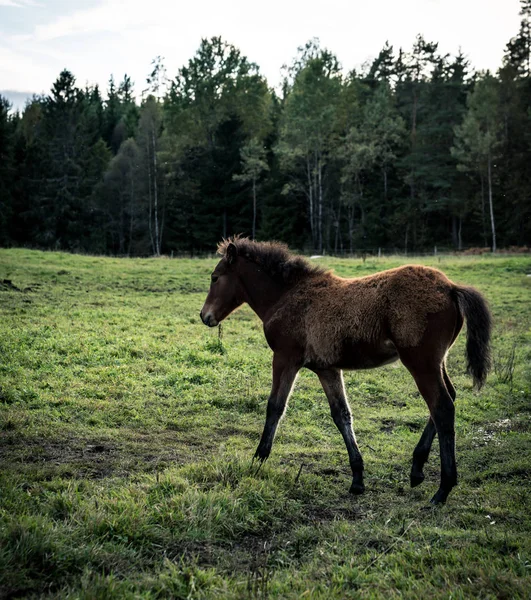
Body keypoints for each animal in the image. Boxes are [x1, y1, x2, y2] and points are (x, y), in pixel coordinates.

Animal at [201, 237, 494, 504]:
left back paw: (443, 489)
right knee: (448, 398)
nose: (205, 316)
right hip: (437, 361)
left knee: (442, 406)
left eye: (215, 278)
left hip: (420, 362)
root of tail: (451, 287)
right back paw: (416, 470)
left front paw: (259, 457)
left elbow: (275, 406)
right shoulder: (327, 368)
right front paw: (357, 478)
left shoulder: (285, 358)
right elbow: (341, 414)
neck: (286, 296)